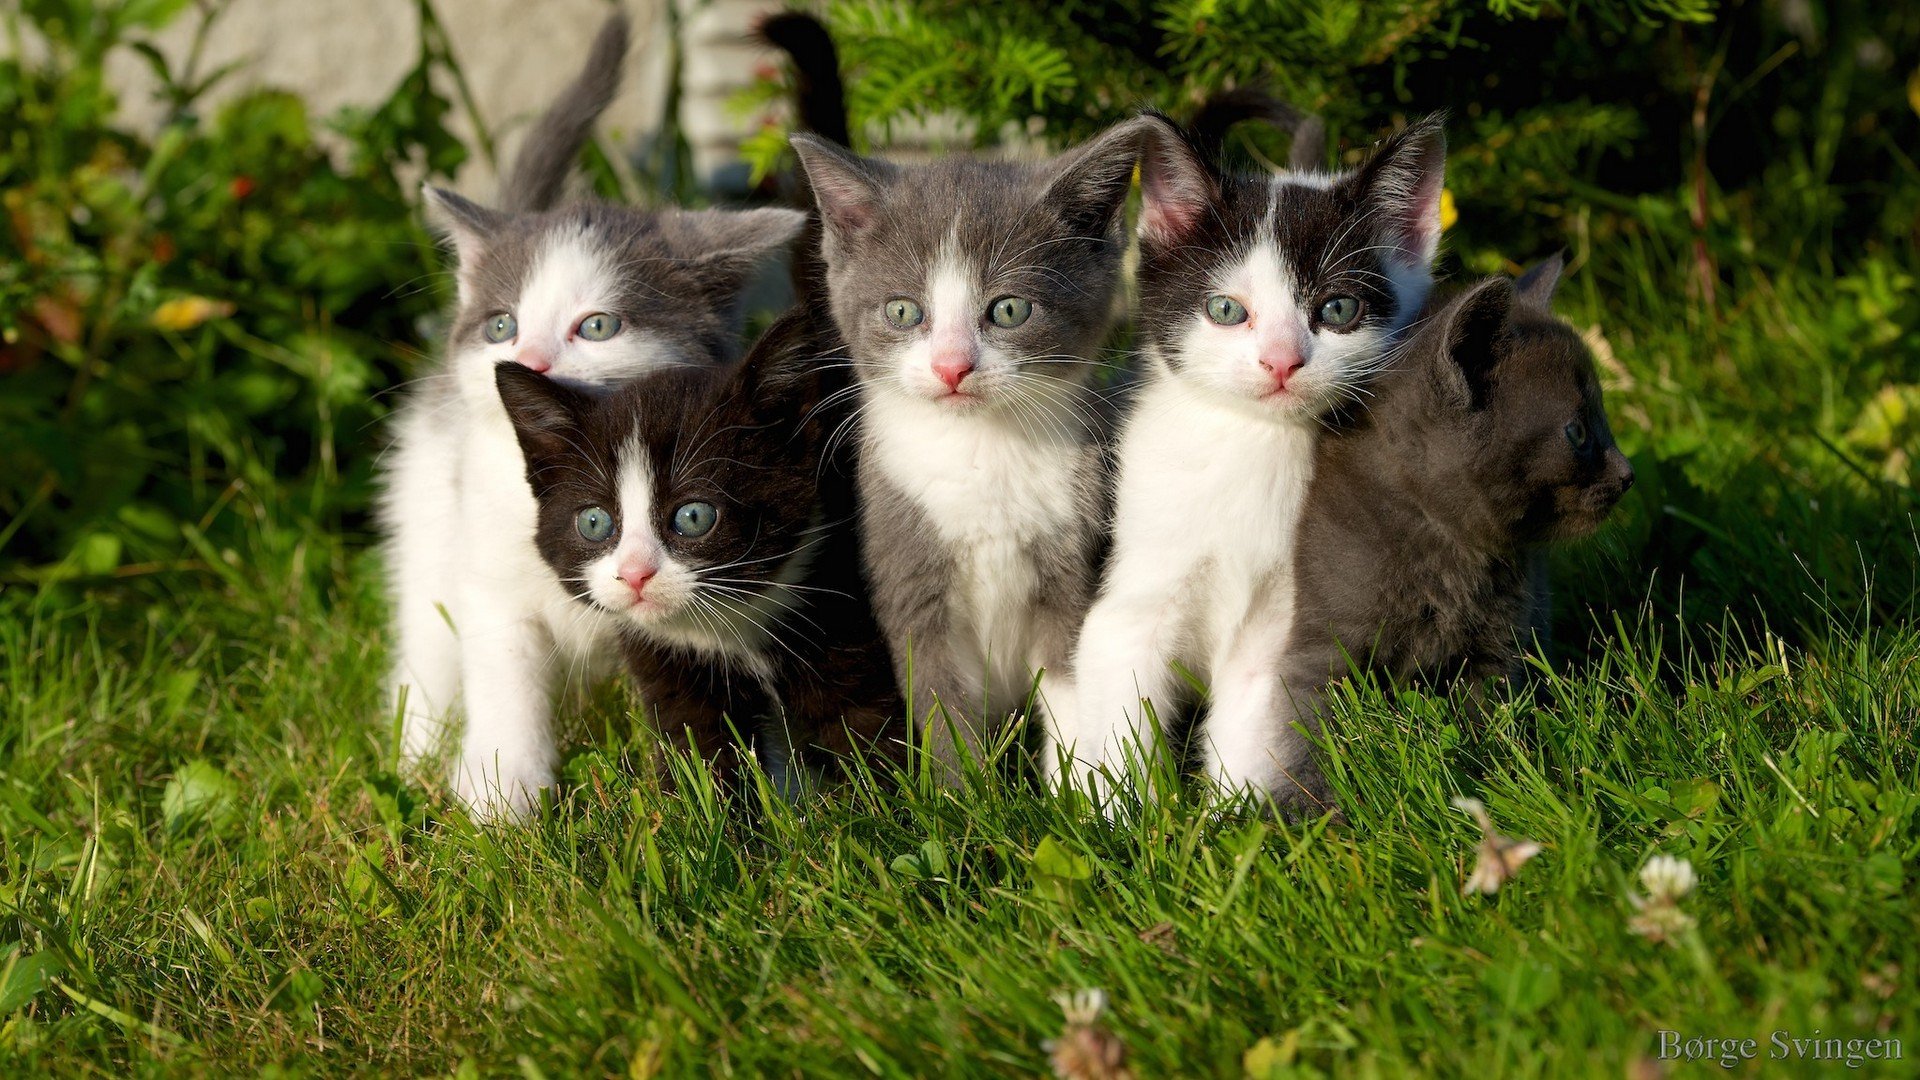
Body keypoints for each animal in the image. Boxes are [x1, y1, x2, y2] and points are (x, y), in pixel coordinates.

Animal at [378, 14, 806, 814]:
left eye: (598, 326)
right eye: (502, 327)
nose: (530, 361)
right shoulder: (491, 580)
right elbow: (503, 675)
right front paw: (501, 796)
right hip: (427, 519)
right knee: (426, 639)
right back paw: (413, 750)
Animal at [503, 307, 906, 787]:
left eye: (694, 517)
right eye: (594, 523)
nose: (635, 574)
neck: (734, 626)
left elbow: (869, 733)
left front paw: (885, 799)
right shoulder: (670, 665)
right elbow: (699, 757)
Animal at [783, 117, 1152, 772]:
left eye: (1008, 309)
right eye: (903, 311)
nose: (952, 366)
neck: (982, 452)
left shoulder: (1070, 567)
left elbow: (1070, 684)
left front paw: (1077, 790)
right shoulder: (908, 576)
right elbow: (943, 706)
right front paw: (967, 796)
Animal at [1059, 113, 1443, 810]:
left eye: (1338, 309)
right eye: (1226, 310)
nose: (1282, 360)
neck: (1256, 447)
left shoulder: (1286, 620)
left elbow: (1254, 717)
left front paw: (1234, 819)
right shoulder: (1127, 605)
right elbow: (1124, 712)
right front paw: (1130, 823)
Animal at [1274, 255, 1635, 737]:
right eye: (1577, 432)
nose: (1627, 474)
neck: (1449, 548)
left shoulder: (1500, 649)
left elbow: (1490, 721)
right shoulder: (1324, 644)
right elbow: (1309, 732)